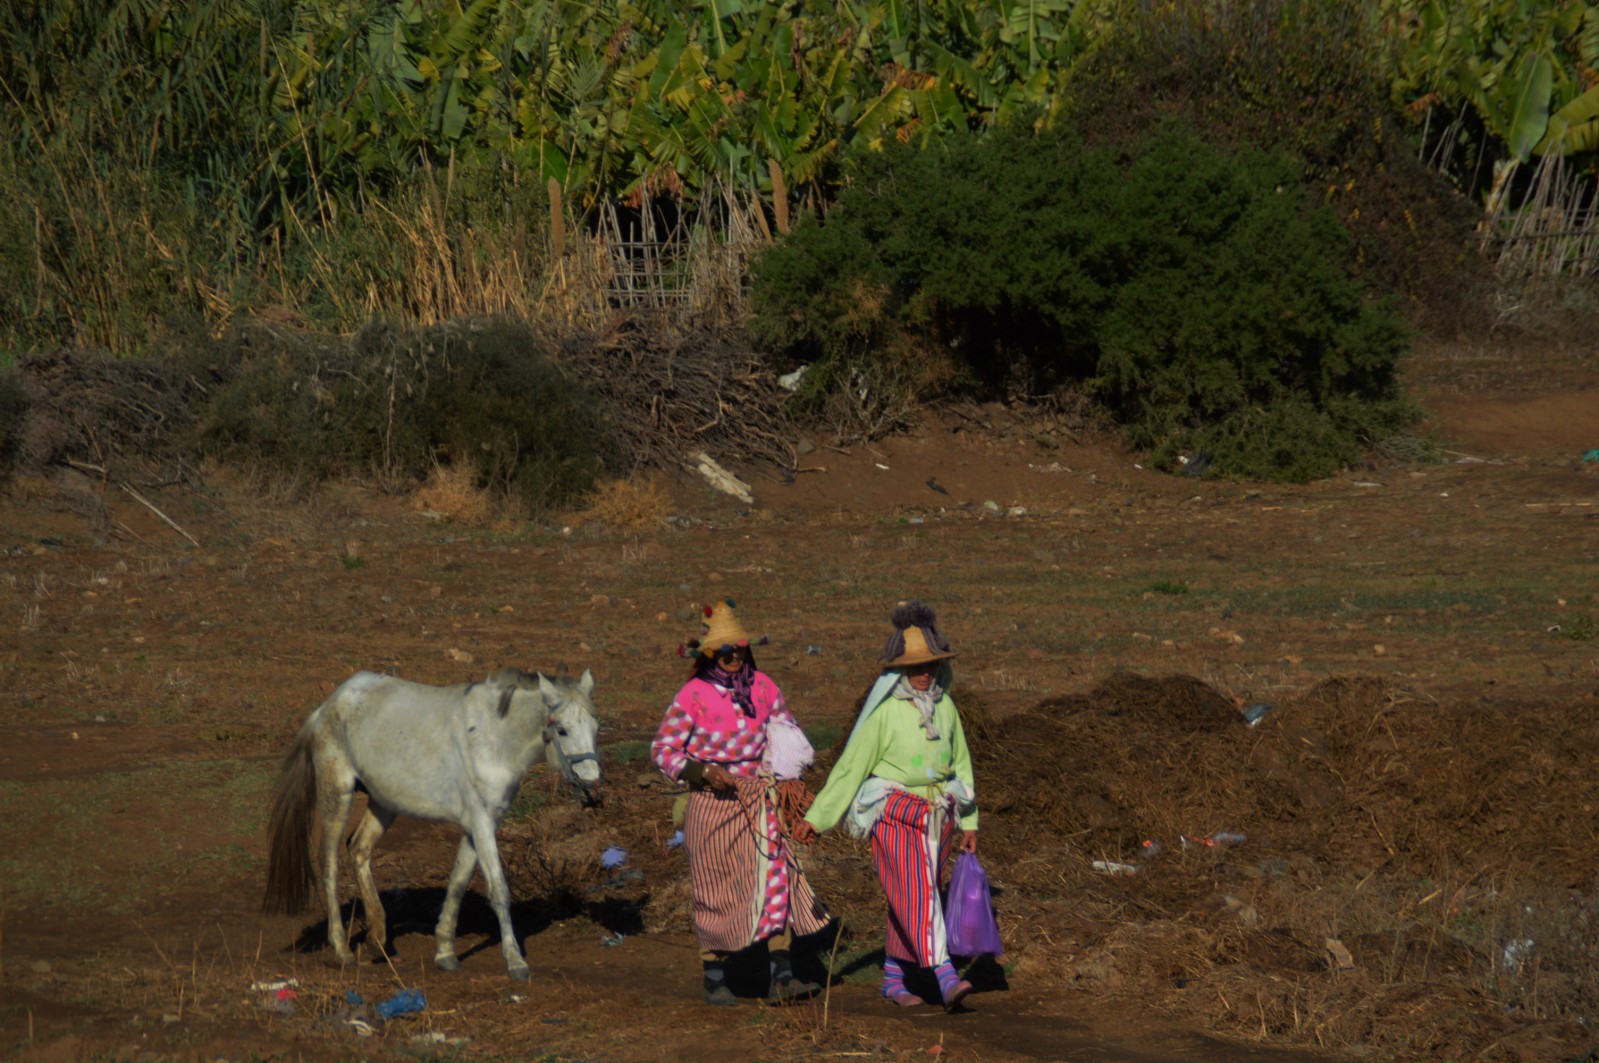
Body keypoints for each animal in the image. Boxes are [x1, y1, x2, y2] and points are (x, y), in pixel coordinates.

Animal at [262, 664, 601, 978]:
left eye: (596, 727)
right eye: (563, 730)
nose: (593, 787)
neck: (494, 739)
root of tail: (327, 705)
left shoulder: (481, 823)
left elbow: (458, 882)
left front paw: (445, 952)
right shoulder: (481, 821)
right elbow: (499, 889)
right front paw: (515, 961)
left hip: (384, 802)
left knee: (358, 849)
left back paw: (378, 938)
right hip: (337, 794)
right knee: (329, 863)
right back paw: (343, 950)